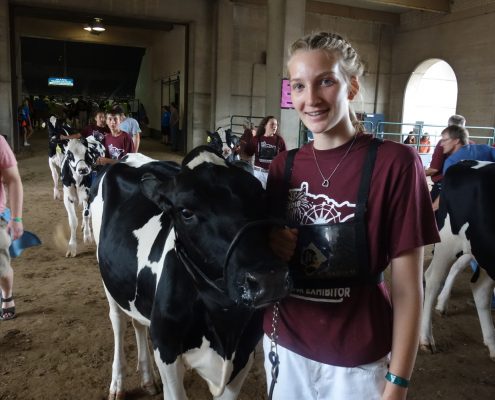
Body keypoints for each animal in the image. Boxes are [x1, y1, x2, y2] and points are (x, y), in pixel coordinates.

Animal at [90, 148, 290, 400]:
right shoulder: (166, 349)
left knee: (138, 323)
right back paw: (118, 383)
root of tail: (130, 157)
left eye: (262, 197)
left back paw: (147, 378)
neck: (224, 322)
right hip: (107, 278)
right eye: (185, 212)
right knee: (118, 322)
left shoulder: (244, 355)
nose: (269, 278)